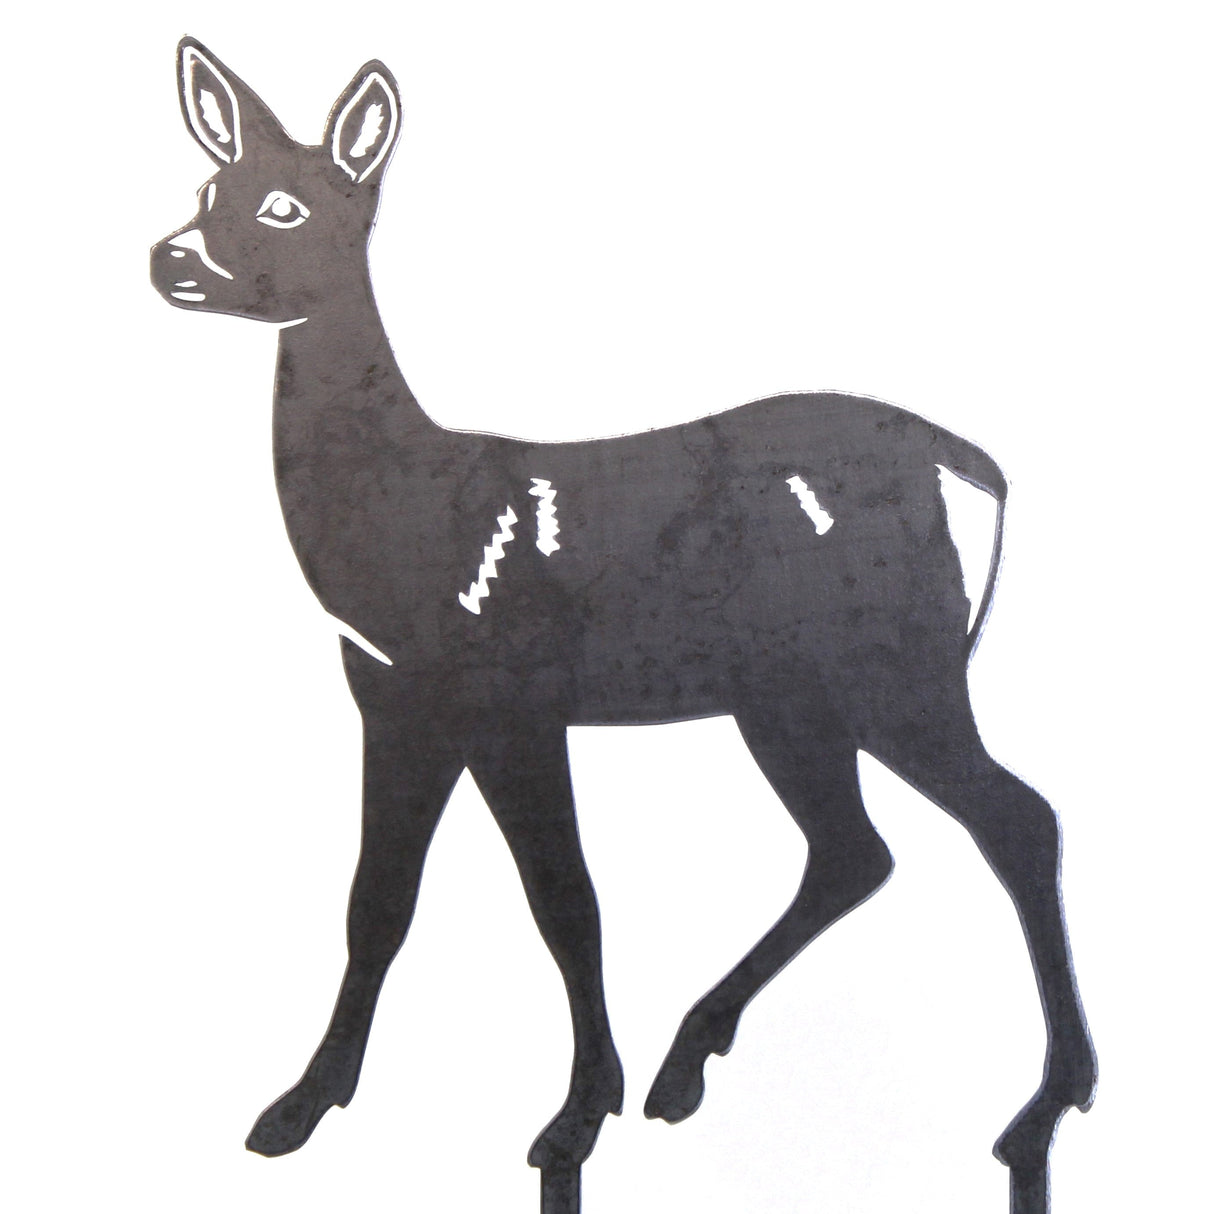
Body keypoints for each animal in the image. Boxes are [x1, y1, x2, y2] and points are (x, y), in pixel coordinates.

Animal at [150, 39, 1095, 1214]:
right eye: (207, 191)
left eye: (284, 205)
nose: (170, 258)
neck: (415, 514)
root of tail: (985, 476)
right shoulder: (394, 695)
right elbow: (377, 898)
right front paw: (296, 1108)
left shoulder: (510, 693)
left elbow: (565, 895)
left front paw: (571, 1120)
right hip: (790, 696)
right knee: (855, 848)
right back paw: (688, 1062)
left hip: (897, 666)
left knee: (1016, 819)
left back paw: (1042, 1110)